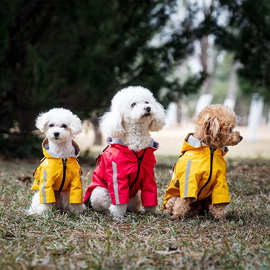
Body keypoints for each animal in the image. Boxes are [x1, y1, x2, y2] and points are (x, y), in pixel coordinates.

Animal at [83, 86, 166, 217]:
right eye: (133, 104)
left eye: (147, 102)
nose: (148, 108)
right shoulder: (117, 174)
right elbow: (119, 196)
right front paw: (118, 215)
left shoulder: (149, 173)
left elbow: (150, 191)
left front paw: (151, 212)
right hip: (100, 193)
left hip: (135, 196)